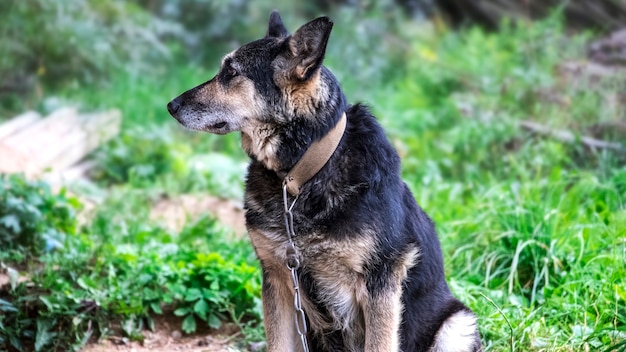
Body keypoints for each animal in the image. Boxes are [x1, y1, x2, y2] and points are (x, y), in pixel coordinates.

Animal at [165, 11, 478, 352]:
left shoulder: (381, 285)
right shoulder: (278, 278)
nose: (171, 106)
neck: (301, 174)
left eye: (231, 72)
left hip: (457, 323)